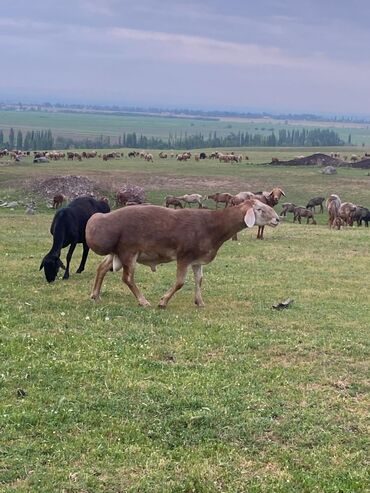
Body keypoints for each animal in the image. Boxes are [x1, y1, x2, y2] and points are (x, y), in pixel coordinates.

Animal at [86, 199, 278, 308]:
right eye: (260, 209)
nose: (277, 219)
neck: (213, 226)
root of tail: (100, 219)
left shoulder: (197, 259)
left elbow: (199, 280)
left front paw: (200, 302)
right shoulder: (184, 256)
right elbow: (179, 283)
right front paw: (163, 302)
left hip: (117, 252)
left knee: (101, 268)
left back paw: (95, 295)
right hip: (129, 251)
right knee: (127, 278)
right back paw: (143, 301)